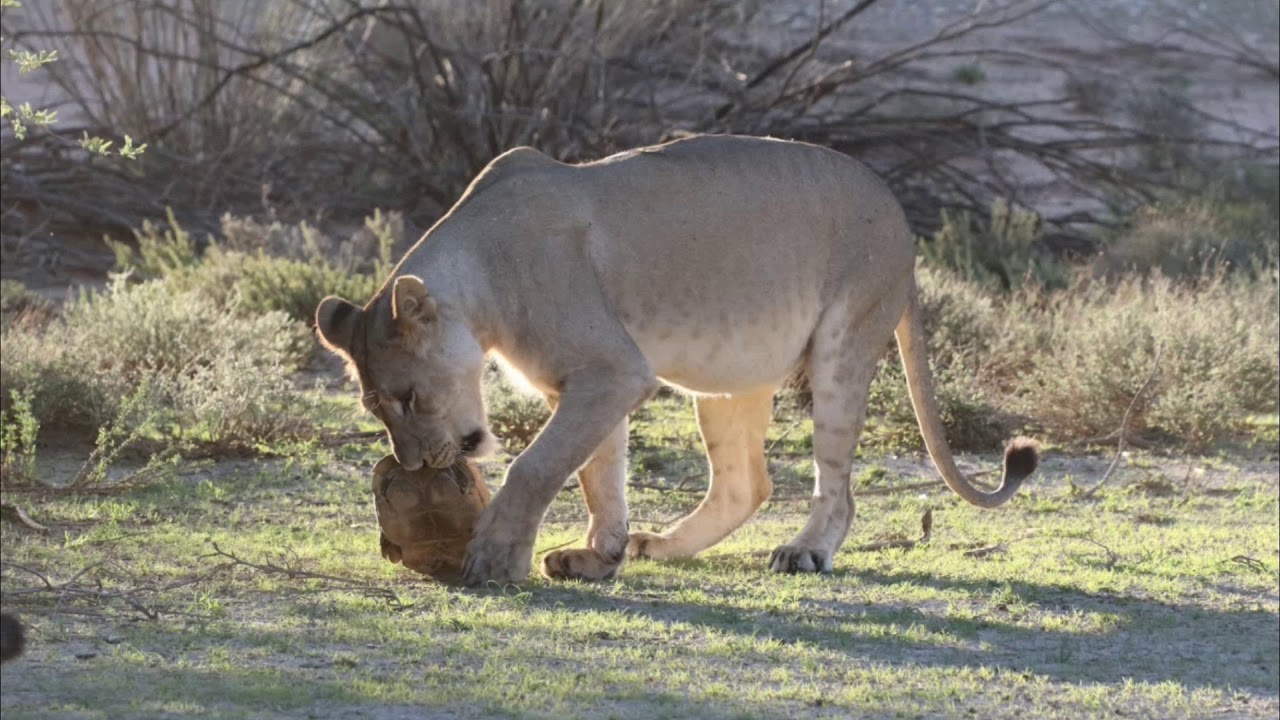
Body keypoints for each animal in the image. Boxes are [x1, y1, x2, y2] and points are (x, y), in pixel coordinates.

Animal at [316, 134, 1038, 585]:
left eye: (410, 397)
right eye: (376, 409)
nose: (416, 466)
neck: (480, 281)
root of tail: (901, 222)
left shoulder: (613, 370)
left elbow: (537, 465)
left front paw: (496, 555)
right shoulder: (586, 382)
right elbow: (598, 473)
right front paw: (600, 556)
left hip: (844, 344)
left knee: (837, 487)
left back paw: (805, 551)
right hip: (729, 374)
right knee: (746, 484)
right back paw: (659, 545)